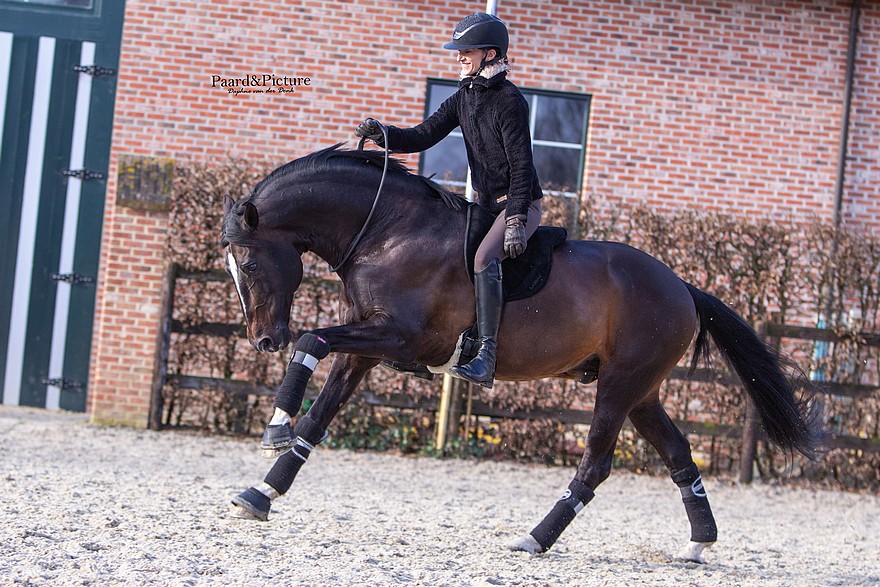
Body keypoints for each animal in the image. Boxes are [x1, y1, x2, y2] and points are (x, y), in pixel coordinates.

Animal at [218, 144, 820, 564]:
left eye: (248, 264)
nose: (263, 340)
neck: (387, 232)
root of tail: (684, 289)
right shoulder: (364, 345)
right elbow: (318, 419)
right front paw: (261, 492)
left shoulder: (397, 338)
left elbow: (311, 341)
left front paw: (275, 424)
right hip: (642, 391)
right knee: (678, 453)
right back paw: (698, 544)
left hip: (619, 385)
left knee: (595, 464)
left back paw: (534, 539)